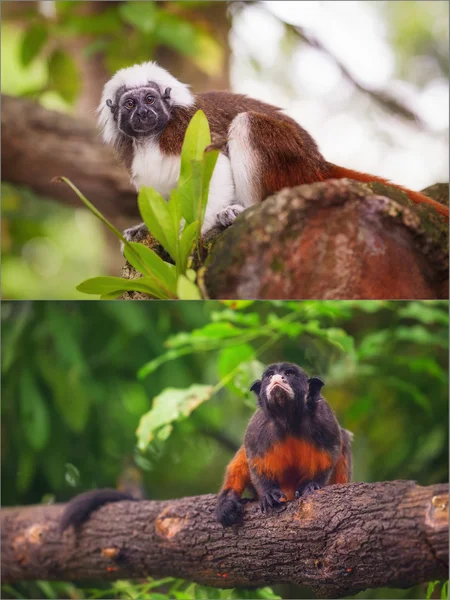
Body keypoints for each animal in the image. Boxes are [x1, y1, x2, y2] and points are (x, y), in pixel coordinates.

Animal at [214, 360, 352, 524]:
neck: (288, 420)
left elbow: (329, 456)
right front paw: (268, 492)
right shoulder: (257, 427)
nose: (277, 378)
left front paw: (311, 485)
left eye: (289, 374)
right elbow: (256, 463)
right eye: (270, 375)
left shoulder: (324, 419)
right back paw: (228, 499)